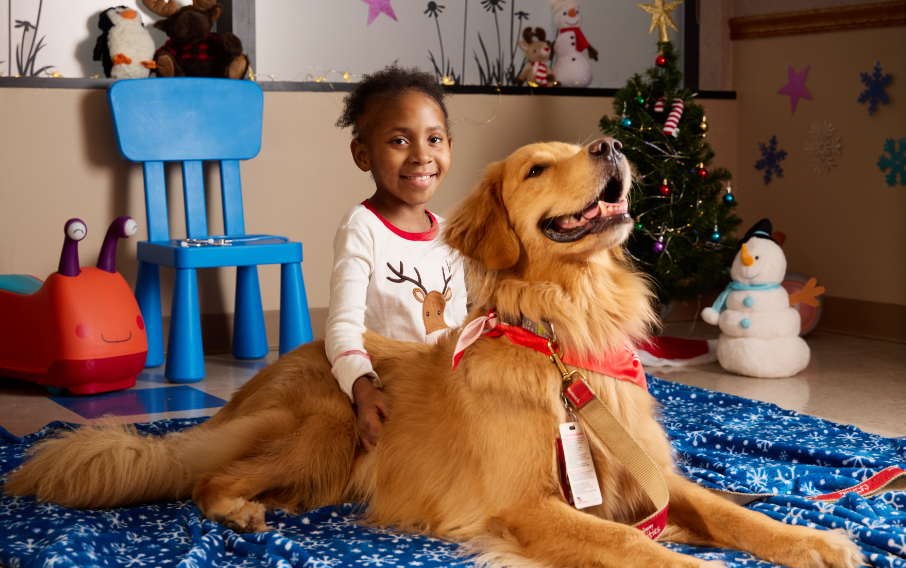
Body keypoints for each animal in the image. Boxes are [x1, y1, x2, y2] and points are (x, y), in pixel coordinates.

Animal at [3, 139, 860, 568]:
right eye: (537, 166)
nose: (613, 140)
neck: (564, 329)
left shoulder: (651, 476)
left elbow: (725, 509)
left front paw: (813, 541)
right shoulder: (524, 505)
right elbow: (631, 543)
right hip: (328, 427)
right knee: (207, 478)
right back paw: (242, 509)